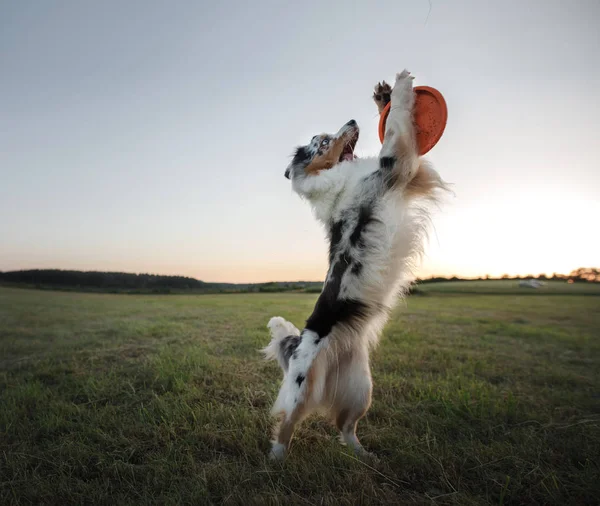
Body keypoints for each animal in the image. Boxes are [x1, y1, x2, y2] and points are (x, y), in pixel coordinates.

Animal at [262, 69, 446, 460]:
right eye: (322, 141)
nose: (350, 120)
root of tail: (300, 342)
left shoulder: (406, 172)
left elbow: (393, 123)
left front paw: (383, 97)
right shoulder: (395, 163)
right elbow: (397, 123)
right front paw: (402, 87)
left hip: (361, 387)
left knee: (345, 427)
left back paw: (364, 455)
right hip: (302, 387)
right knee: (286, 423)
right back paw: (276, 459)